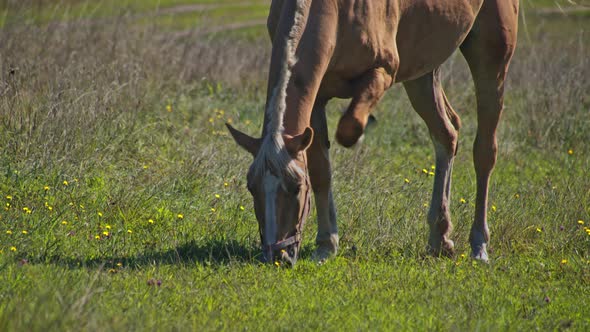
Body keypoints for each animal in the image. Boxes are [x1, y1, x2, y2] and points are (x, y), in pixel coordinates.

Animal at [227, 0, 520, 264]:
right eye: (251, 186)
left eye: (297, 186)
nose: (277, 256)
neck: (336, 11)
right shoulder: (317, 98)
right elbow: (321, 170)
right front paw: (326, 245)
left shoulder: (382, 73)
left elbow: (349, 128)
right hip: (422, 72)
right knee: (447, 135)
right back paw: (440, 237)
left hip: (492, 57)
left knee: (484, 152)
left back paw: (479, 245)